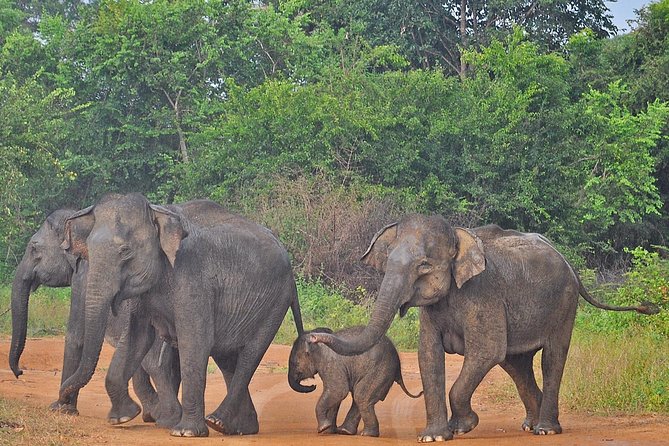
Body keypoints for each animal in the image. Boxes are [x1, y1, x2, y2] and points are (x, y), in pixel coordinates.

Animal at [8, 209, 180, 426]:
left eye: (34, 248)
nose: (20, 372)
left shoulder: (83, 277)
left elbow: (75, 337)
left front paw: (61, 409)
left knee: (155, 365)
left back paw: (163, 417)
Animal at [57, 193, 302, 438]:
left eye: (125, 251)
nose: (61, 404)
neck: (158, 213)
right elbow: (137, 339)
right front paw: (122, 417)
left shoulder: (193, 276)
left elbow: (194, 341)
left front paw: (185, 432)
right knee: (227, 357)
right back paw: (238, 428)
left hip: (274, 302)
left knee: (249, 356)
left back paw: (217, 421)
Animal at [286, 326, 420, 438]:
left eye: (294, 363)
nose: (313, 386)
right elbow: (335, 395)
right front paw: (328, 430)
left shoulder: (331, 363)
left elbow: (338, 390)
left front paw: (323, 429)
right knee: (359, 397)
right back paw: (346, 431)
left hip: (380, 370)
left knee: (361, 396)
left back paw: (366, 434)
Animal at [310, 216, 660, 442]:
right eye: (387, 263)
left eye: (424, 266)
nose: (314, 335)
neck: (458, 236)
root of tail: (569, 263)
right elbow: (429, 356)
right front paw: (434, 437)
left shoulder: (482, 293)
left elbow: (486, 351)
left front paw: (463, 427)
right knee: (516, 365)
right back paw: (530, 425)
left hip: (564, 303)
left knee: (550, 358)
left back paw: (546, 429)